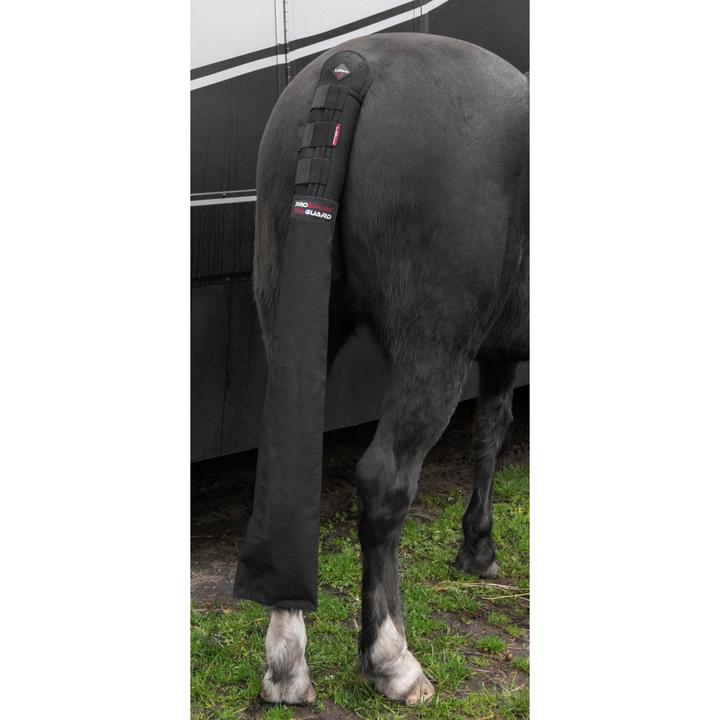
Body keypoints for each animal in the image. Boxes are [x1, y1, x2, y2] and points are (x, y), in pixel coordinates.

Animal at [250, 32, 528, 706]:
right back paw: (392, 660)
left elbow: (491, 430)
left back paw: (287, 666)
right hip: (432, 347)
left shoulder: (499, 349)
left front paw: (477, 547)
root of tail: (350, 68)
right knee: (384, 482)